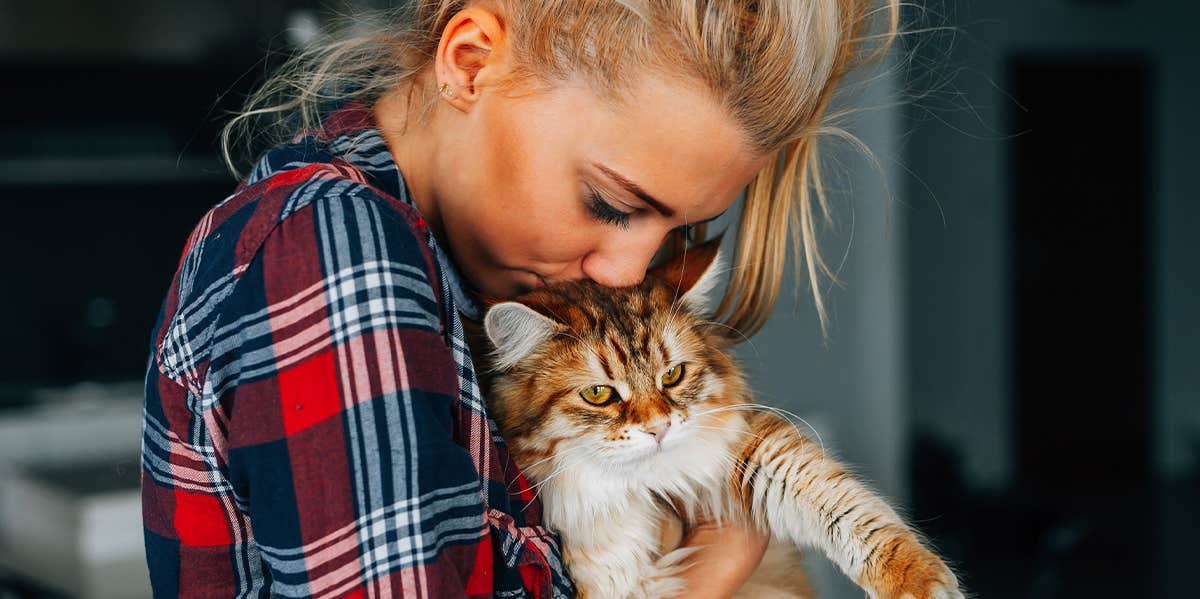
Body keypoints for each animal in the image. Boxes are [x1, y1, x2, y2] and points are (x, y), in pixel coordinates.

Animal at [470, 240, 964, 599]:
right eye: (599, 394)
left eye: (672, 375)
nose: (659, 428)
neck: (638, 487)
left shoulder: (747, 451)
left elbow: (846, 505)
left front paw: (920, 580)